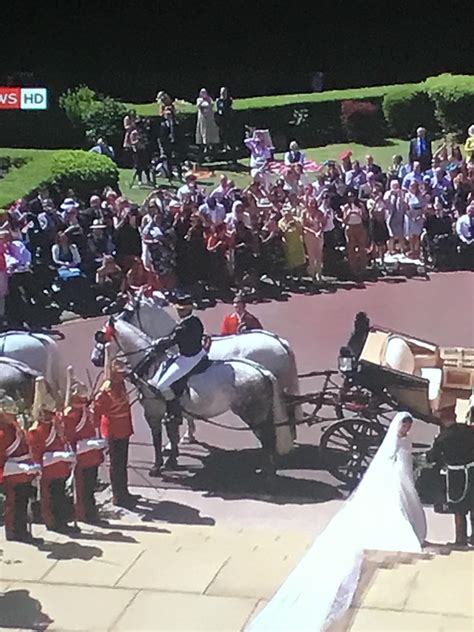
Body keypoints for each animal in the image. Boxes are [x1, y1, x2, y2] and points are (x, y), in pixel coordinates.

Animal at [90, 316, 292, 474]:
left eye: (101, 337)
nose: (95, 360)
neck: (152, 366)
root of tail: (262, 371)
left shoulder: (153, 413)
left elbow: (157, 439)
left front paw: (157, 467)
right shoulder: (171, 413)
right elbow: (172, 436)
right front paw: (172, 461)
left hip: (253, 416)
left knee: (267, 440)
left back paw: (268, 472)